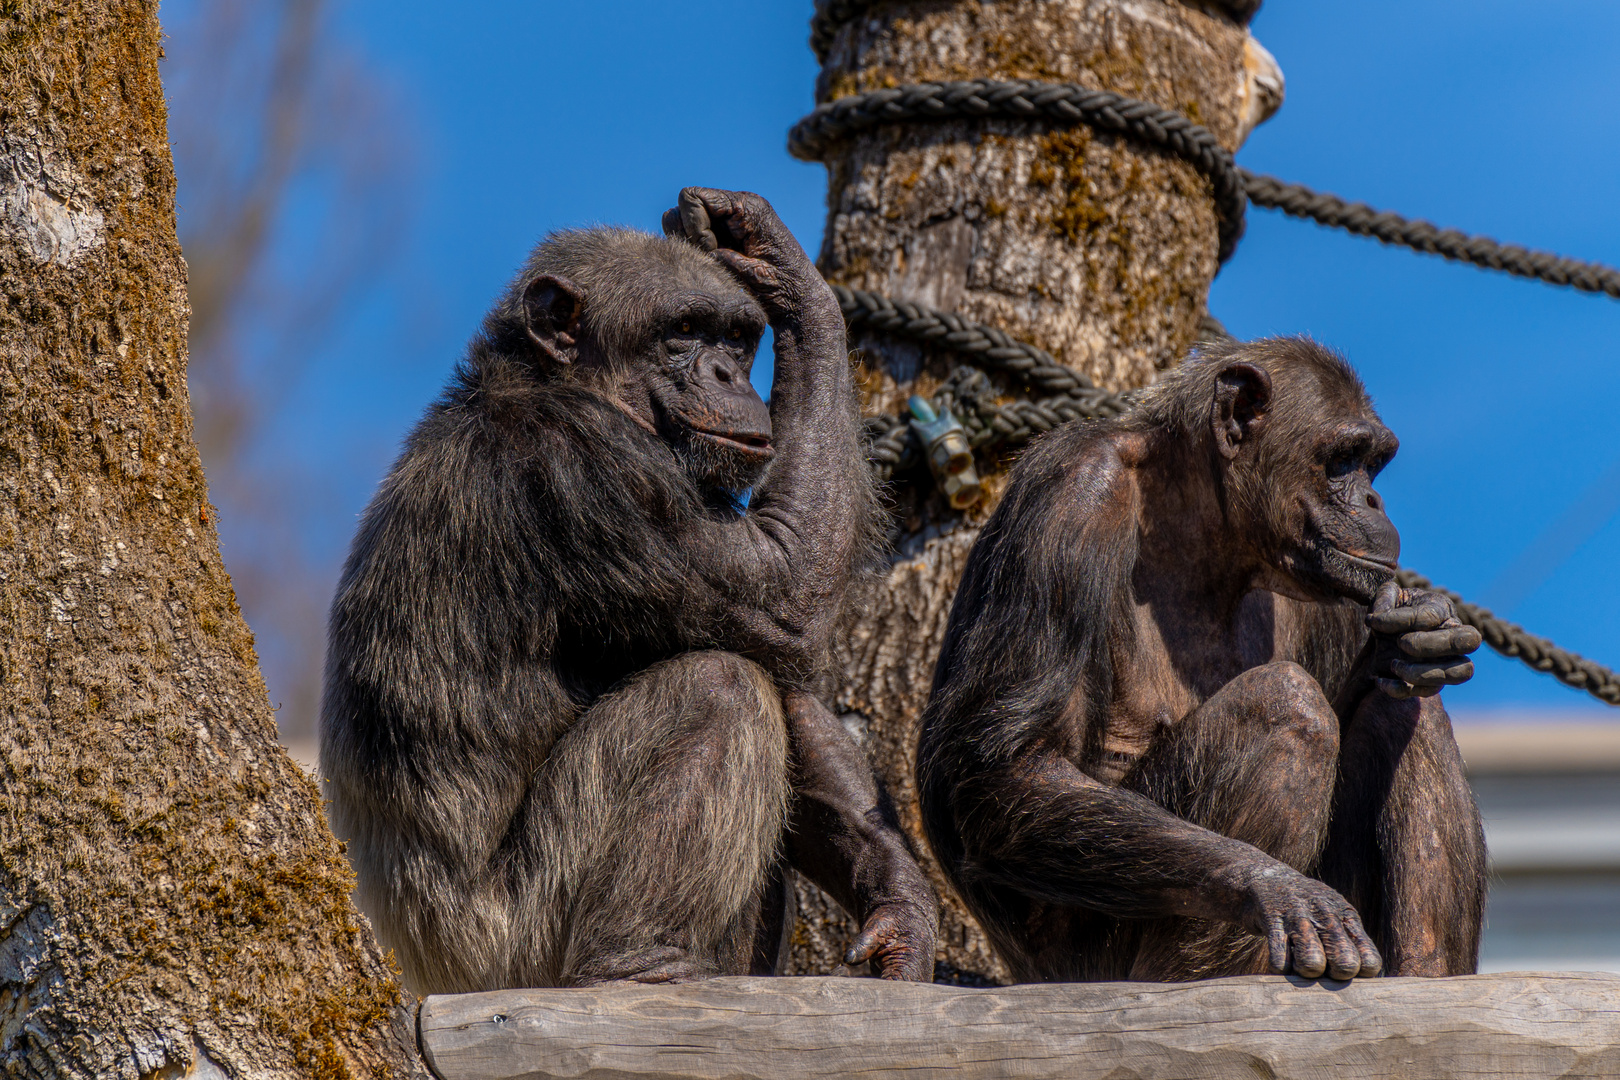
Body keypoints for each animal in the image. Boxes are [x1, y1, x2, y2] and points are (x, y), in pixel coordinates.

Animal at [319, 187, 939, 997]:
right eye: (682, 332)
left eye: (736, 338)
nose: (728, 377)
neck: (544, 387)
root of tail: (424, 971)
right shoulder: (594, 474)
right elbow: (787, 592)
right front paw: (798, 280)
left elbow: (789, 678)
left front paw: (899, 904)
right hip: (514, 942)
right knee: (717, 687)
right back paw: (641, 965)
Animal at [920, 340, 1483, 990]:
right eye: (1343, 459)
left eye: (1374, 464)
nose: (1373, 500)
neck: (1199, 527)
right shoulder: (1071, 493)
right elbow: (1011, 765)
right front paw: (1271, 886)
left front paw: (1419, 633)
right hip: (1090, 960)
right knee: (1287, 706)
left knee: (1404, 706)